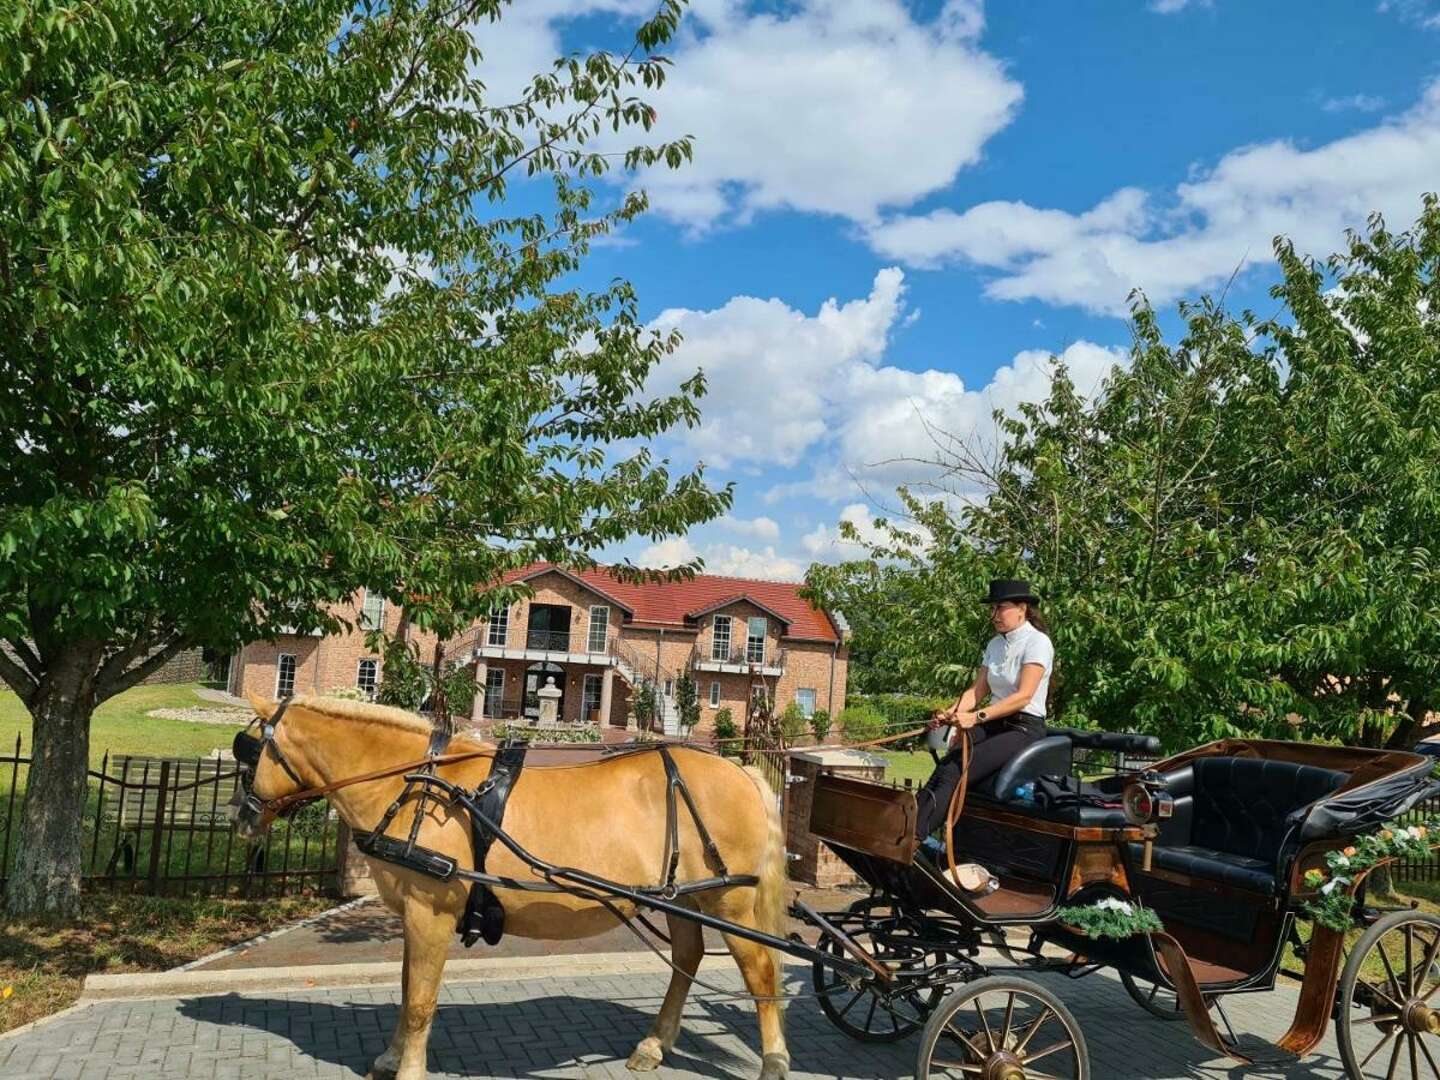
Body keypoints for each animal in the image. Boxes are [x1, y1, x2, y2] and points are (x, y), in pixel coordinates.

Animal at [227, 694, 789, 1080]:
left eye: (249, 753)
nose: (242, 818)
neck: (416, 785)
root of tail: (741, 769)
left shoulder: (431, 911)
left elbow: (420, 1000)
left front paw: (407, 1068)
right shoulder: (414, 914)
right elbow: (408, 989)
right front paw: (390, 1057)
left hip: (729, 900)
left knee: (760, 970)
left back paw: (774, 1059)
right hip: (684, 896)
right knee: (688, 959)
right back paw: (653, 1045)